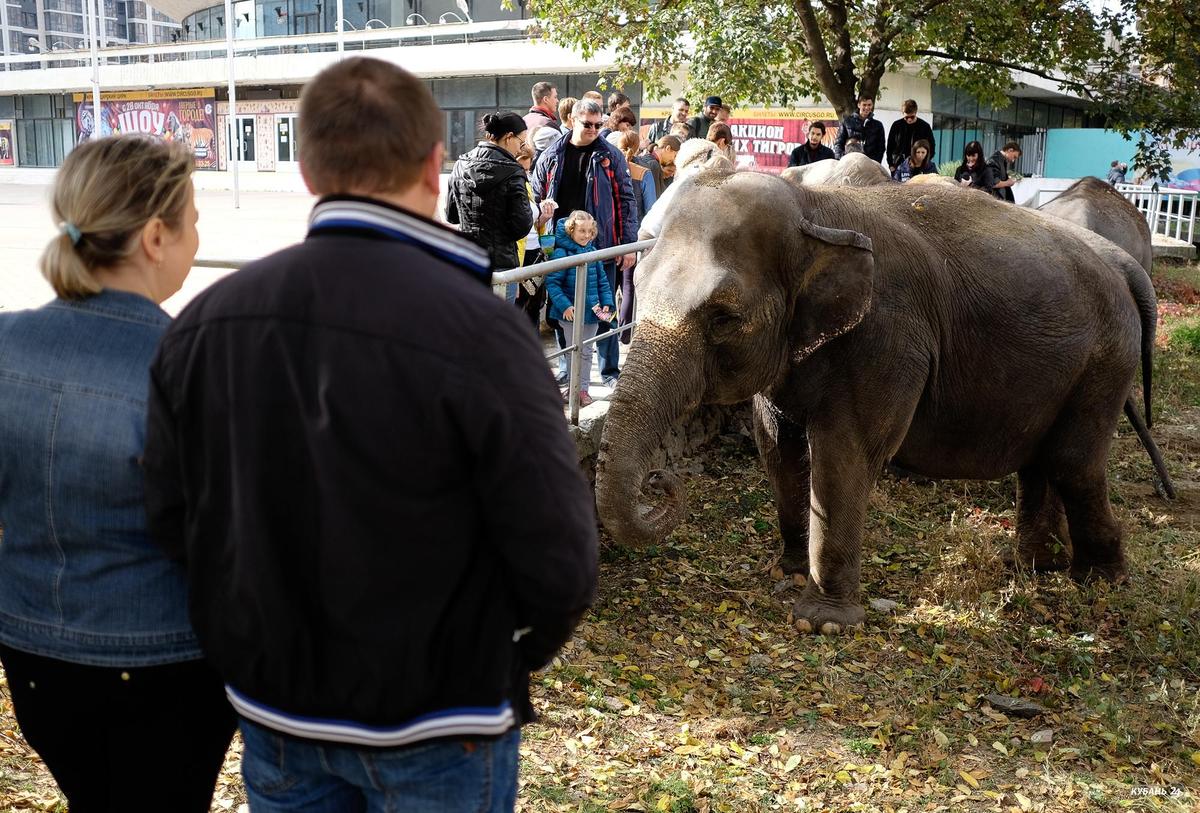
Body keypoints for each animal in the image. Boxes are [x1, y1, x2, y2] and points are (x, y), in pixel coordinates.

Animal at [595, 170, 1176, 637]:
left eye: (722, 317)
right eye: (637, 286)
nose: (661, 479)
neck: (813, 208)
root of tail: (1124, 265)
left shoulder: (889, 340)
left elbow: (844, 454)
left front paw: (821, 622)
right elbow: (776, 446)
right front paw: (786, 573)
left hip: (1105, 363)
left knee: (1074, 463)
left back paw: (1098, 581)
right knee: (1043, 462)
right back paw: (1036, 568)